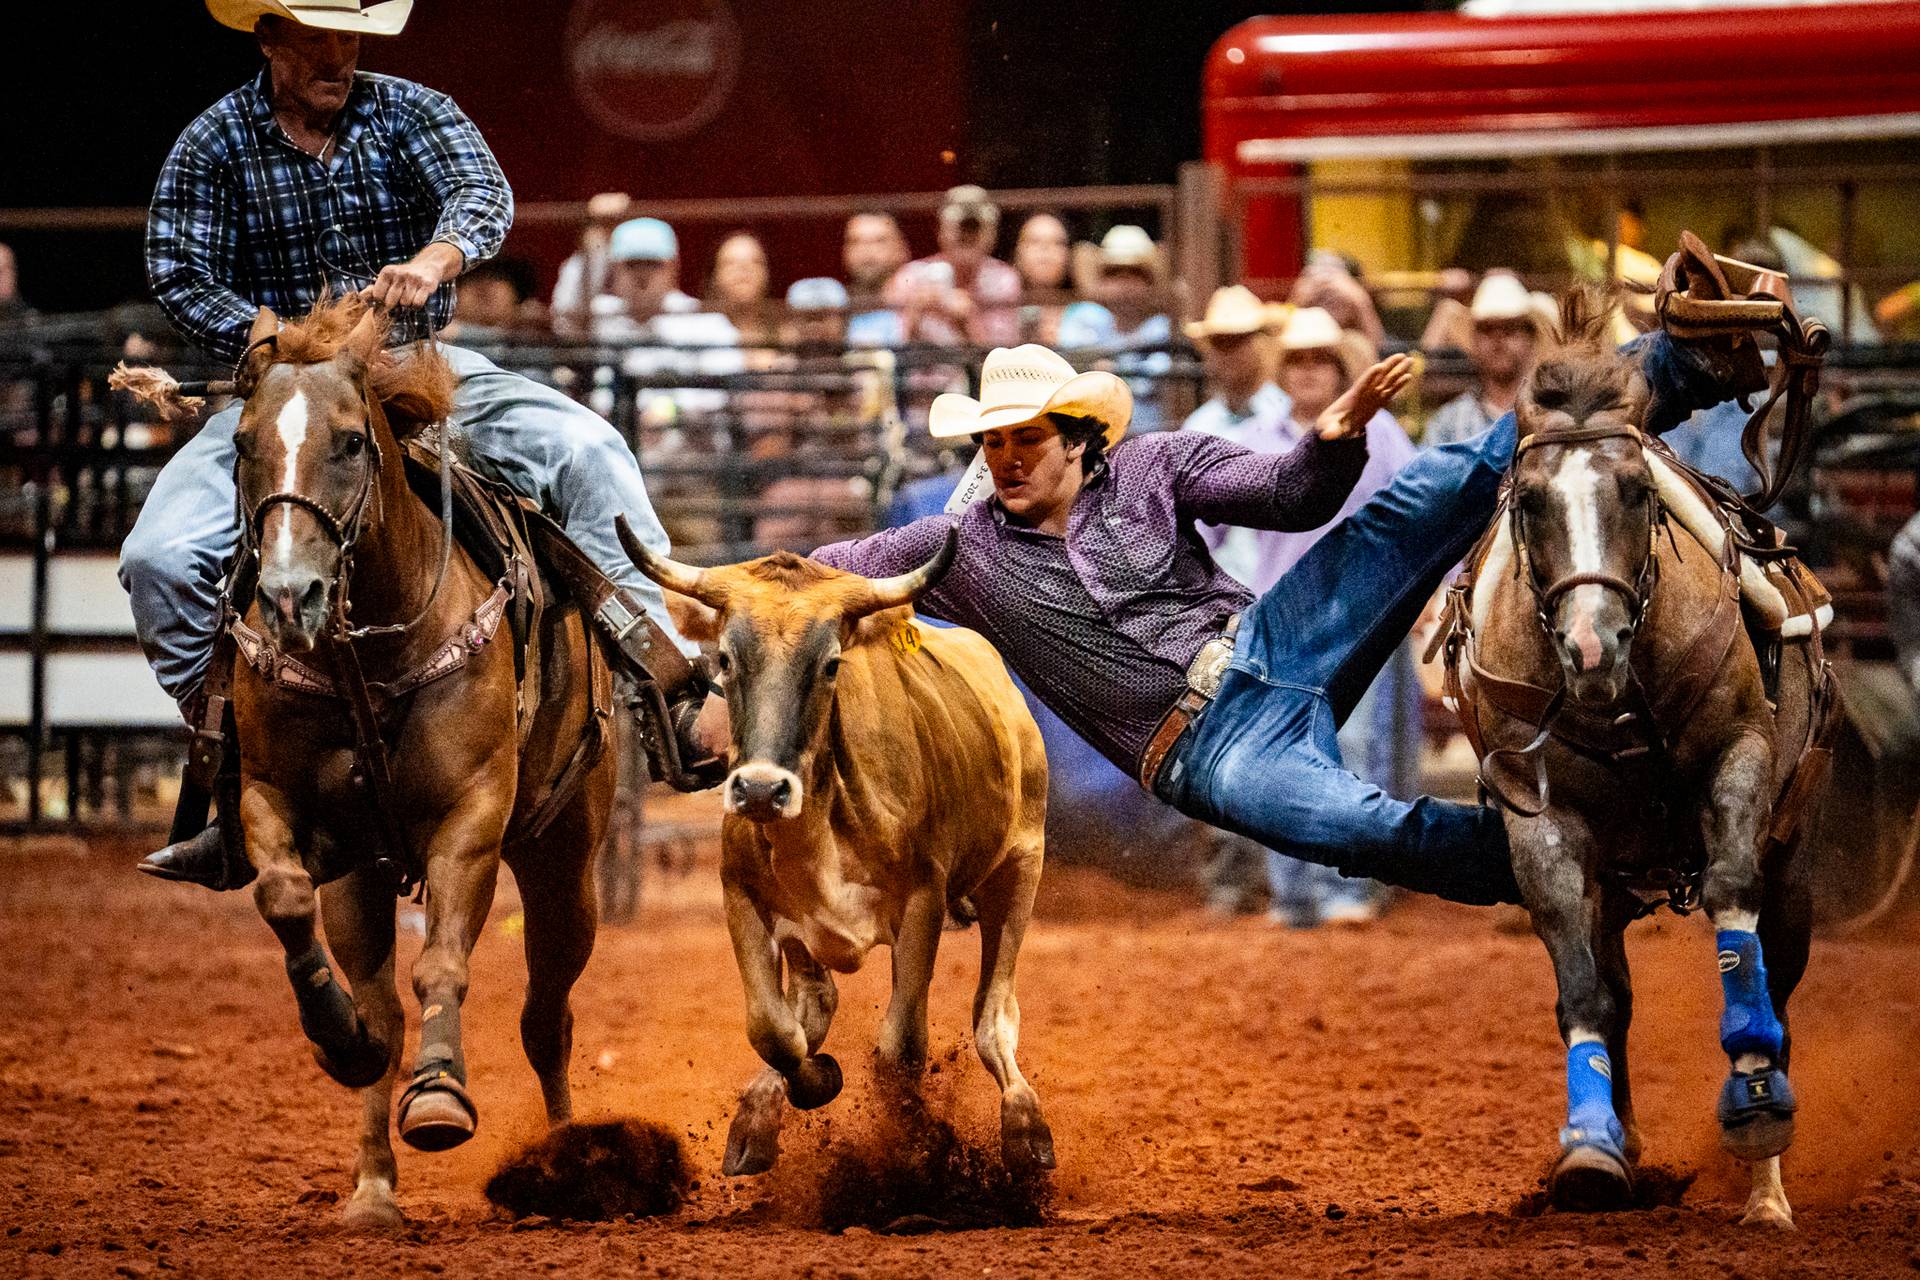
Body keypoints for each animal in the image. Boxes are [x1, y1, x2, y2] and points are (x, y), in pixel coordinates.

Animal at [224, 295, 614, 1228]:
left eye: (349, 441)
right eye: (243, 444)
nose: (289, 596)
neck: (366, 661)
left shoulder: (469, 821)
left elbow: (444, 961)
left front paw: (439, 1095)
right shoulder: (275, 799)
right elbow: (284, 897)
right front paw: (340, 1040)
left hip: (564, 859)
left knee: (547, 1017)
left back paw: (566, 1158)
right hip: (363, 876)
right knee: (385, 1007)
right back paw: (372, 1183)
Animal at [1443, 289, 1835, 1228]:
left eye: (1634, 490)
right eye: (1530, 501)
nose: (1592, 645)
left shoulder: (1739, 761)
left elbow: (1733, 908)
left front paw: (1755, 1100)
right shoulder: (1543, 823)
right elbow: (1585, 992)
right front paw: (1591, 1151)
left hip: (1794, 856)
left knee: (1779, 974)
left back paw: (1766, 1188)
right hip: (1616, 879)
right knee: (1614, 988)